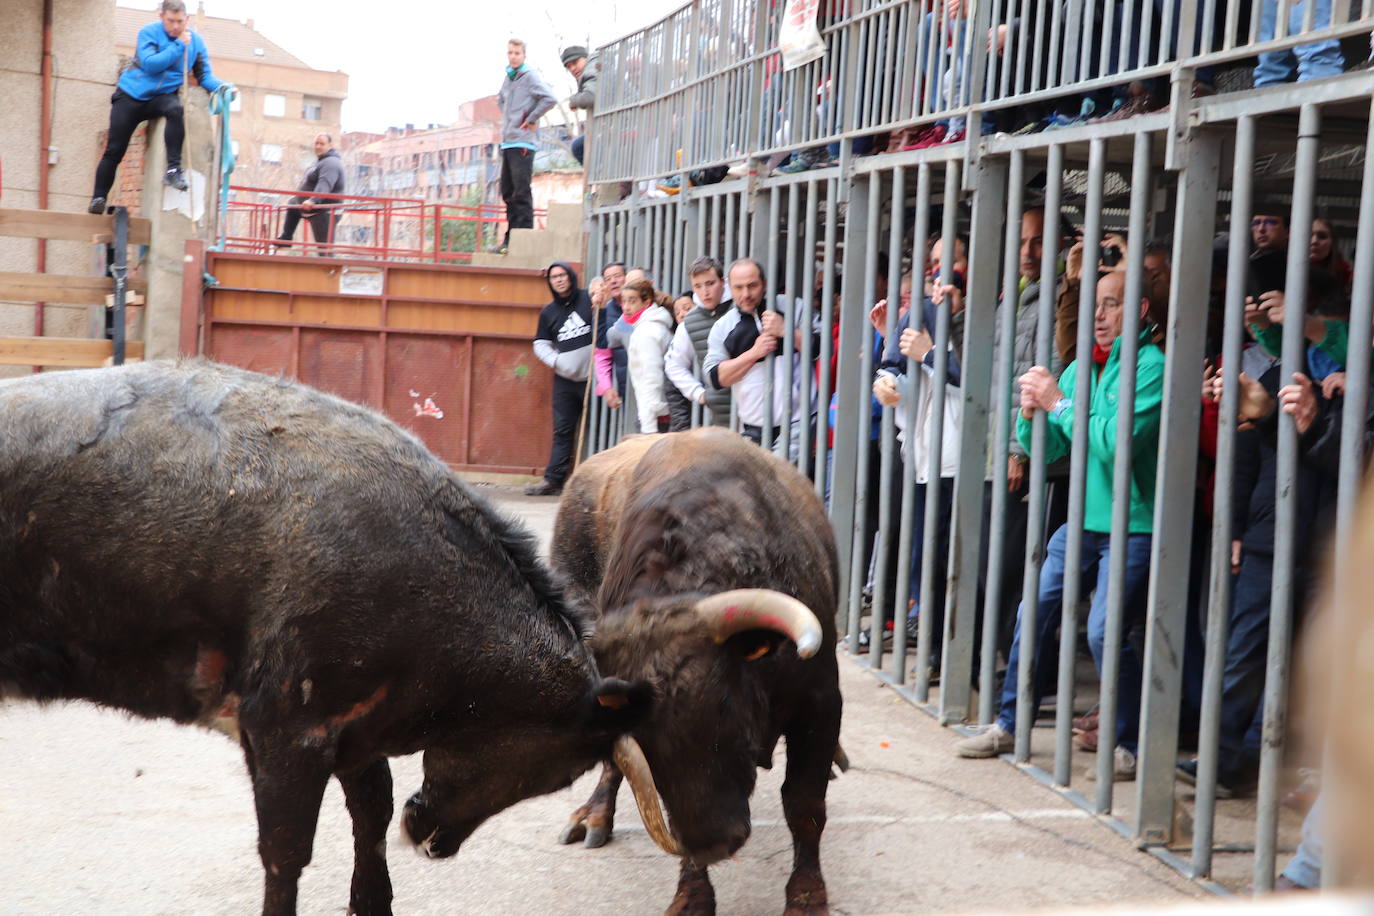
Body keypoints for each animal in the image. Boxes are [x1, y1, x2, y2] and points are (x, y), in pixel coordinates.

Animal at [0, 362, 651, 916]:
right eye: (560, 773)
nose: (436, 844)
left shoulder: (355, 734)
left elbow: (372, 814)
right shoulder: (287, 731)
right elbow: (286, 853)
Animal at [552, 431, 840, 916]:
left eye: (722, 704)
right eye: (641, 737)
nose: (713, 843)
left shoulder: (820, 701)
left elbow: (804, 803)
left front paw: (806, 898)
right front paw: (692, 896)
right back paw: (593, 816)